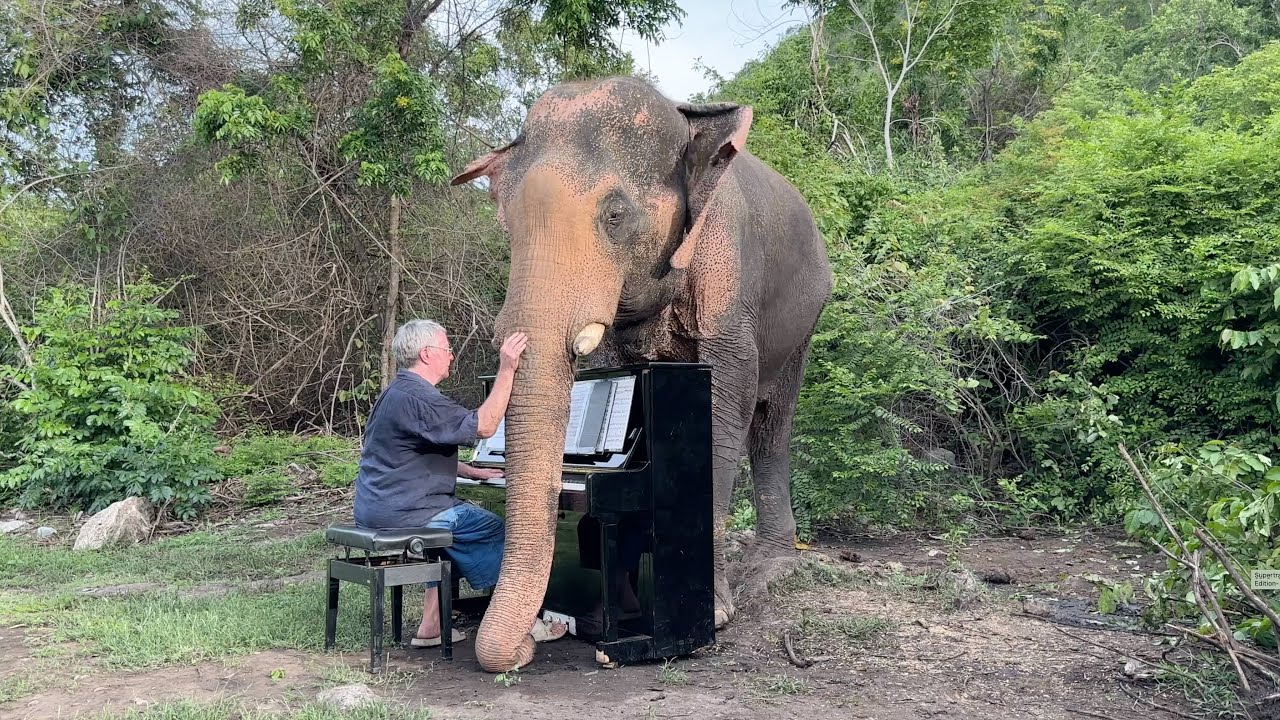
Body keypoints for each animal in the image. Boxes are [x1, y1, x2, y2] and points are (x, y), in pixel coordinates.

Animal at [449, 75, 833, 672]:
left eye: (615, 214)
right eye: (508, 227)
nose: (527, 646)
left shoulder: (728, 267)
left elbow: (727, 398)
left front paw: (713, 616)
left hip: (804, 318)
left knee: (772, 423)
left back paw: (770, 569)